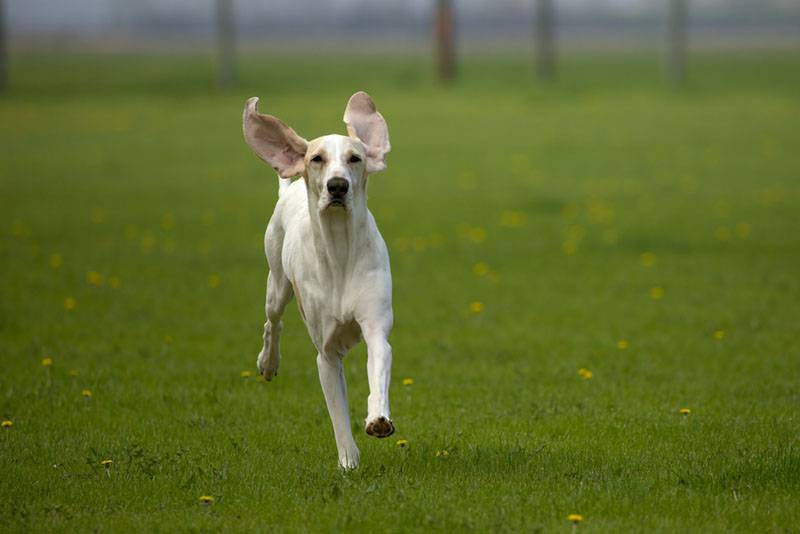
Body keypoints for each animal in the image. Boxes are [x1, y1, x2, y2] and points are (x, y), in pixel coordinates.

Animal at [242, 93, 396, 474]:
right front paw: (348, 460)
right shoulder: (325, 354)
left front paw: (378, 419)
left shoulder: (375, 324)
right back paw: (268, 362)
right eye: (317, 158)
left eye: (355, 158)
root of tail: (290, 185)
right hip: (277, 282)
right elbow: (337, 411)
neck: (340, 251)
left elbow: (378, 366)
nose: (337, 185)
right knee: (273, 321)